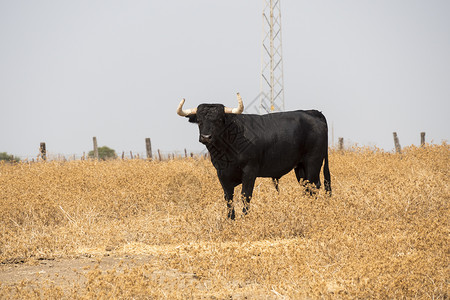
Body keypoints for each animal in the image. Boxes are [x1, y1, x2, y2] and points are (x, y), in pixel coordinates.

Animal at [178, 99, 330, 219]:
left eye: (219, 120)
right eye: (199, 121)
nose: (206, 137)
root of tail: (312, 112)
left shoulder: (250, 171)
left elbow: (245, 196)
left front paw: (244, 218)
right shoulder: (221, 173)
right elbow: (228, 198)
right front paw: (230, 219)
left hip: (313, 162)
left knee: (314, 186)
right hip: (300, 167)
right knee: (306, 188)